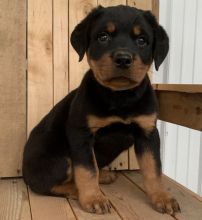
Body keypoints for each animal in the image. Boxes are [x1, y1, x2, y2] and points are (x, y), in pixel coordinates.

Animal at [22, 4, 180, 215]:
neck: (120, 96)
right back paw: (79, 189)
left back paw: (103, 176)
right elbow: (87, 169)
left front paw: (162, 197)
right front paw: (93, 198)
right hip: (60, 159)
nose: (123, 59)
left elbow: (153, 168)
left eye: (142, 40)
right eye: (103, 37)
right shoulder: (81, 134)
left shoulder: (147, 132)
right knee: (48, 184)